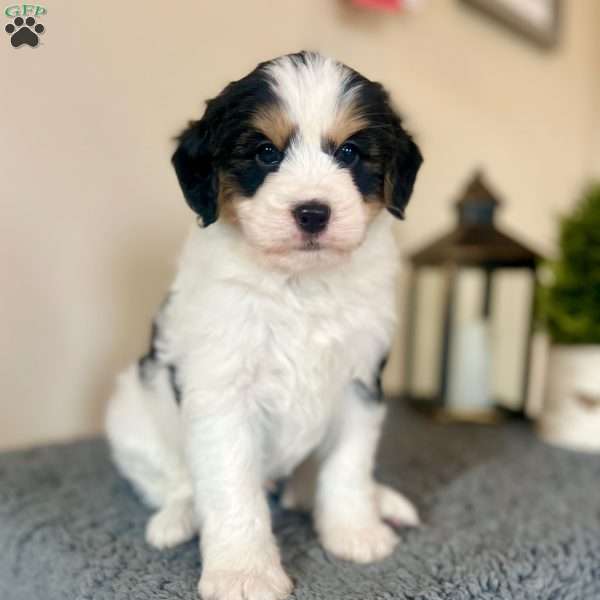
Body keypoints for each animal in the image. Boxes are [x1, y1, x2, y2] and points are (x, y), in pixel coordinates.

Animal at [108, 51, 424, 600]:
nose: (313, 213)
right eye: (264, 153)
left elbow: (348, 466)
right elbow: (232, 487)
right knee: (173, 478)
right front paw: (244, 573)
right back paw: (178, 518)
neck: (299, 283)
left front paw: (355, 533)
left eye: (349, 152)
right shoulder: (222, 390)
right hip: (131, 409)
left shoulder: (360, 381)